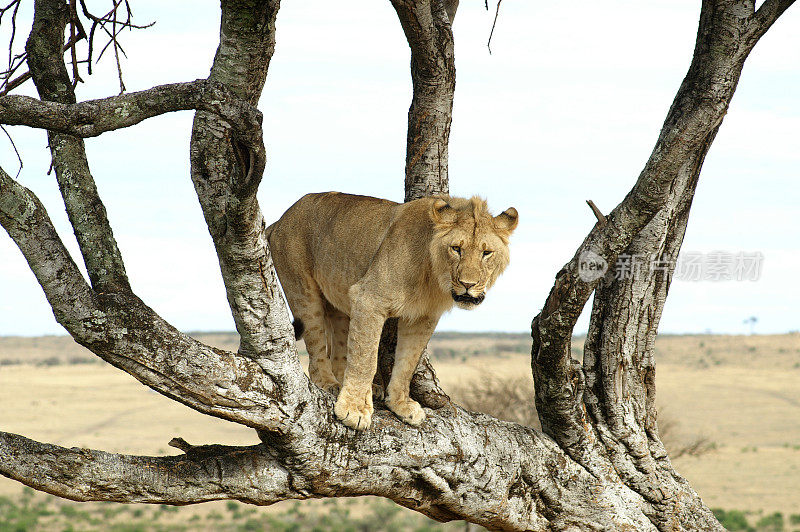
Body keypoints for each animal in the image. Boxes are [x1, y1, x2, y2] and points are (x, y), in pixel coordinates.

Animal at [268, 193, 520, 430]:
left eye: (487, 253)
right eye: (456, 249)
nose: (468, 284)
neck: (433, 276)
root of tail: (280, 219)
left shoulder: (423, 317)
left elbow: (407, 362)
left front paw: (400, 404)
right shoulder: (368, 299)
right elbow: (365, 360)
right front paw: (354, 409)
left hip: (338, 296)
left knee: (339, 350)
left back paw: (355, 386)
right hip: (303, 291)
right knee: (317, 349)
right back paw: (329, 384)